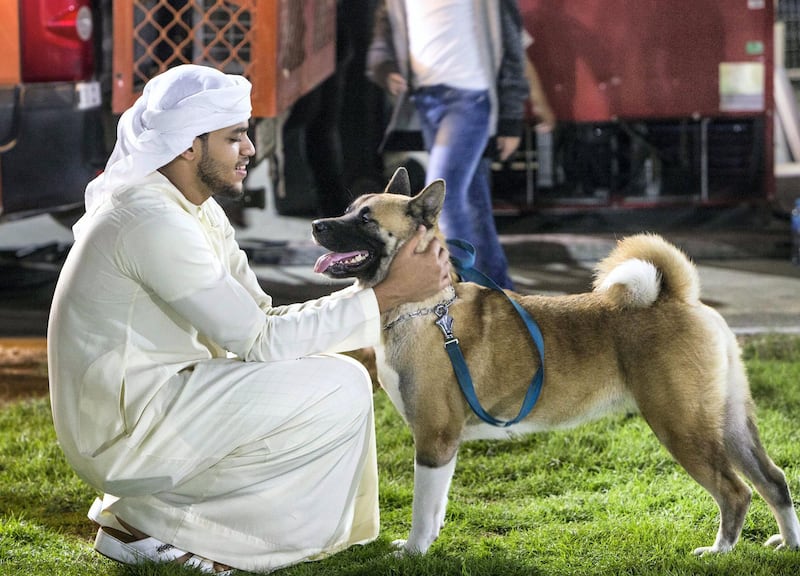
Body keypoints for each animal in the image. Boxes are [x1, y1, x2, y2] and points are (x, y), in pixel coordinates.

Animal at [310, 169, 796, 556]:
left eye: (366, 218)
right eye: (348, 209)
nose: (315, 224)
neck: (428, 307)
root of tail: (678, 297)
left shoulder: (434, 438)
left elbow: (422, 508)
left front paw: (412, 553)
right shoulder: (442, 445)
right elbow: (436, 508)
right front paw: (424, 547)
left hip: (683, 426)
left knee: (735, 491)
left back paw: (719, 551)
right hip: (729, 423)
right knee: (773, 480)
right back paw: (788, 543)